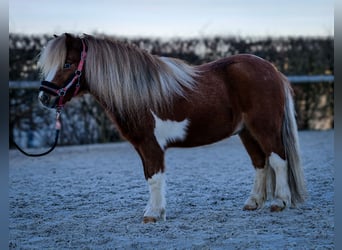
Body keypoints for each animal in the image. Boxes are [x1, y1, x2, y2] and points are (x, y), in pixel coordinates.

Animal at [38, 33, 308, 223]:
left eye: (67, 64)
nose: (44, 98)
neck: (140, 93)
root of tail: (272, 70)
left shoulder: (151, 145)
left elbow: (155, 178)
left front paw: (153, 215)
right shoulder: (142, 147)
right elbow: (149, 176)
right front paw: (156, 211)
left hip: (264, 127)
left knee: (278, 160)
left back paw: (280, 202)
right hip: (247, 132)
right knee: (260, 162)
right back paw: (253, 202)